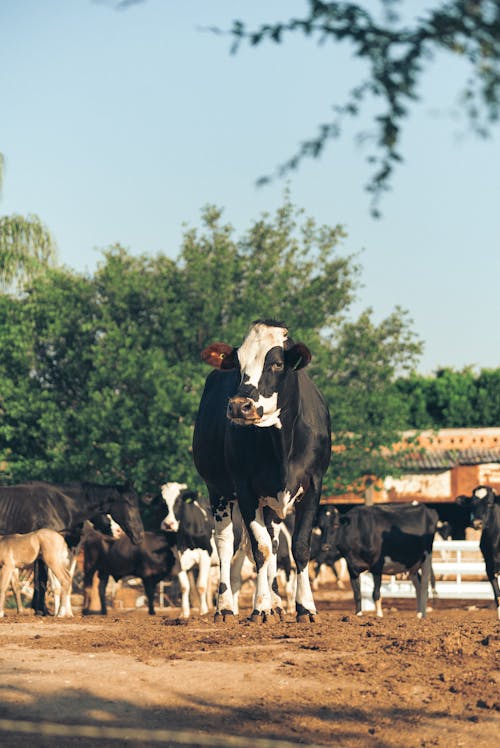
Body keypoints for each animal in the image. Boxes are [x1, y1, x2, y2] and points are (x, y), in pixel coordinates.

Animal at [0, 482, 145, 616]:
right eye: (130, 504)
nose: (139, 535)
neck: (58, 505)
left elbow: (50, 580)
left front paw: (59, 611)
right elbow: (50, 582)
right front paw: (52, 611)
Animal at [160, 482, 215, 616]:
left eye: (179, 501)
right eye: (162, 502)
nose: (168, 524)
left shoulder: (205, 554)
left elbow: (201, 585)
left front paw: (203, 611)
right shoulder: (177, 559)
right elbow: (185, 587)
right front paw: (184, 614)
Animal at [192, 318, 332, 624]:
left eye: (277, 363)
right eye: (238, 363)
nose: (238, 406)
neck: (281, 446)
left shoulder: (313, 486)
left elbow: (298, 547)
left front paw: (305, 607)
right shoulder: (245, 490)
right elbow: (260, 549)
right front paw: (260, 607)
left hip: (272, 506)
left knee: (276, 542)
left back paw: (278, 603)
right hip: (218, 491)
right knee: (226, 544)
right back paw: (226, 607)